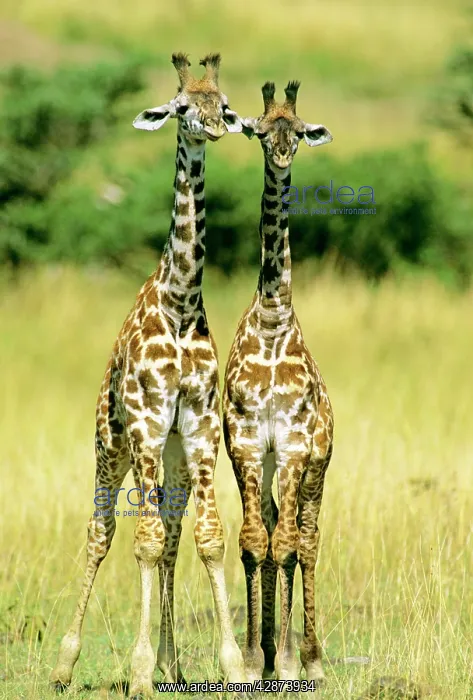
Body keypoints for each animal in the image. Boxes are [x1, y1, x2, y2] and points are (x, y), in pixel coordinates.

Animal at [49, 53, 246, 699]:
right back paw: (66, 663)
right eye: (182, 107)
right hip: (111, 444)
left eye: (223, 103)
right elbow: (143, 541)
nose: (215, 127)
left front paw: (232, 664)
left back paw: (172, 664)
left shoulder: (201, 428)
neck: (181, 302)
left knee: (173, 535)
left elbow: (206, 537)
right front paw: (136, 672)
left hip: (175, 456)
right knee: (103, 530)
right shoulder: (145, 422)